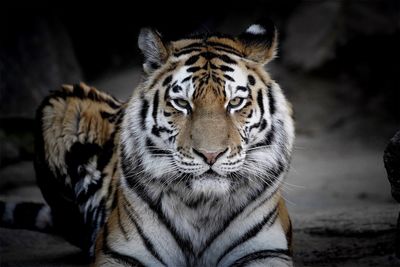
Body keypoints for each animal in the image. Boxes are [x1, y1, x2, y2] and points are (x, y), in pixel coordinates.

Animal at [0, 21, 294, 267]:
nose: (210, 155)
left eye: (235, 102)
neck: (202, 207)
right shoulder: (120, 251)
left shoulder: (265, 251)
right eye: (182, 103)